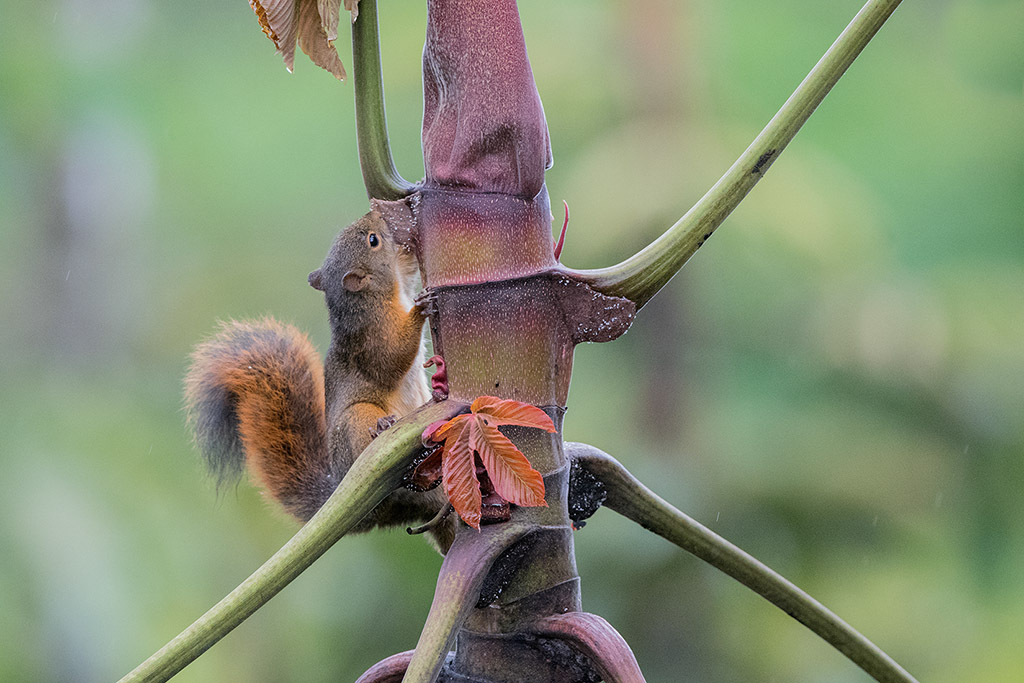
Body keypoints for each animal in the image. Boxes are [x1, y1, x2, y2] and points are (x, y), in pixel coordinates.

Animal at [185, 210, 456, 552]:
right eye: (373, 240)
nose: (374, 214)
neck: (376, 297)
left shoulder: (401, 283)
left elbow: (407, 269)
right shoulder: (369, 337)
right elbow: (389, 358)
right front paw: (420, 309)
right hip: (356, 428)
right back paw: (382, 427)